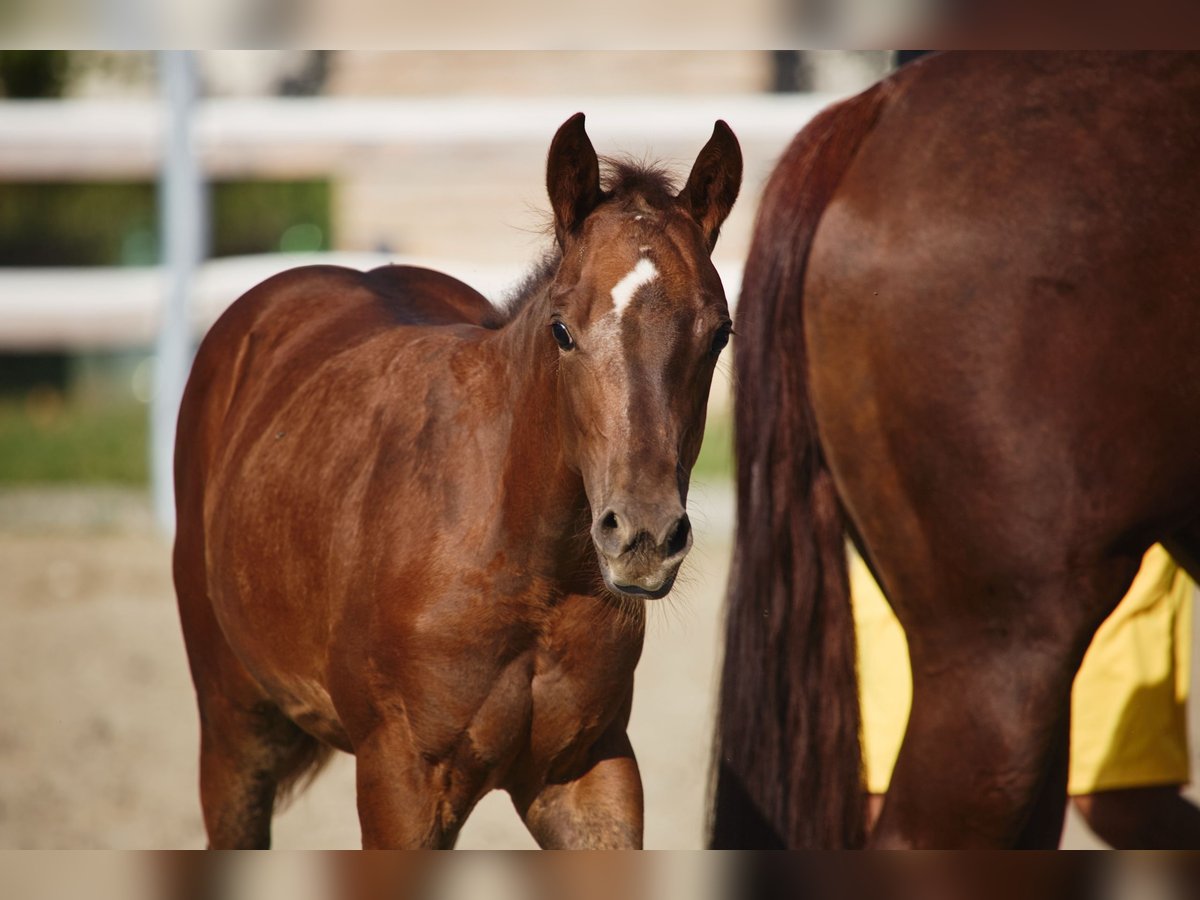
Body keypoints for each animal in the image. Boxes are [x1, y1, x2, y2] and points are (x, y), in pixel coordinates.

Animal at [173, 112, 742, 848]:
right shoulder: (403, 785)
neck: (526, 569)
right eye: (562, 329)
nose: (643, 537)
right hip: (234, 733)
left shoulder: (591, 773)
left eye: (720, 333)